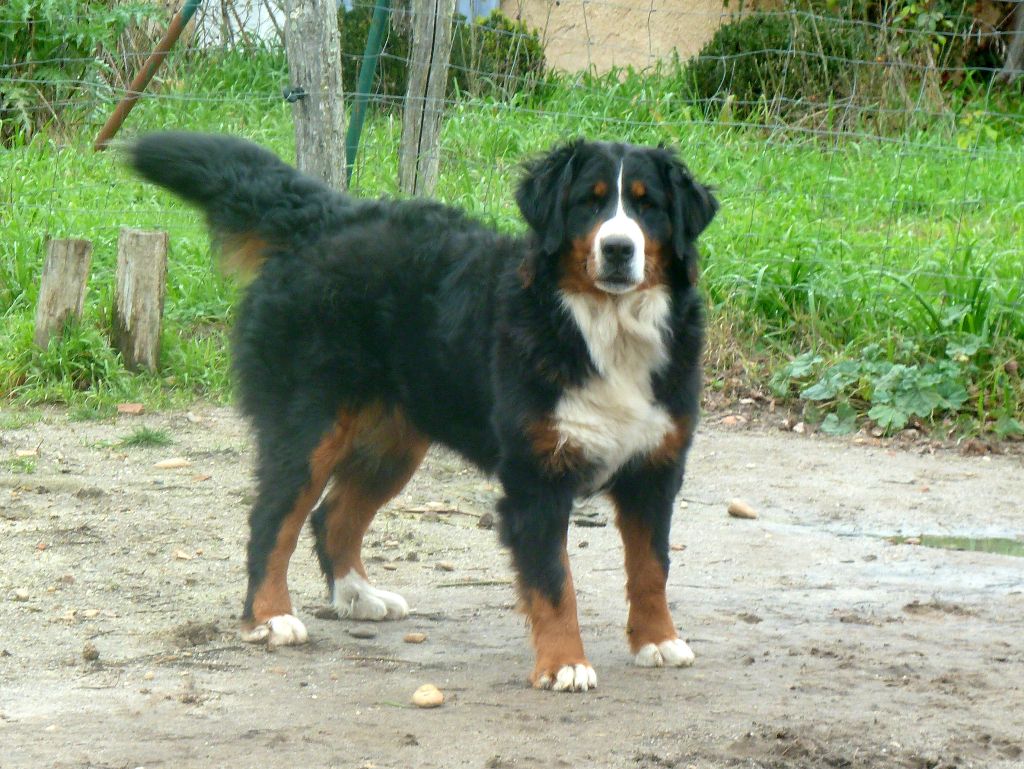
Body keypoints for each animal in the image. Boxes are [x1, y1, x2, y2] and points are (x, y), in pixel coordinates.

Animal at [128, 135, 716, 696]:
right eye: (588, 204)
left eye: (647, 206)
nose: (618, 248)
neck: (604, 329)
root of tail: (324, 217)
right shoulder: (537, 479)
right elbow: (554, 585)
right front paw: (565, 664)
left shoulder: (655, 470)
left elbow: (652, 568)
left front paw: (658, 641)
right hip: (308, 427)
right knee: (272, 521)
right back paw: (270, 618)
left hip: (392, 445)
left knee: (332, 515)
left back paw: (358, 596)